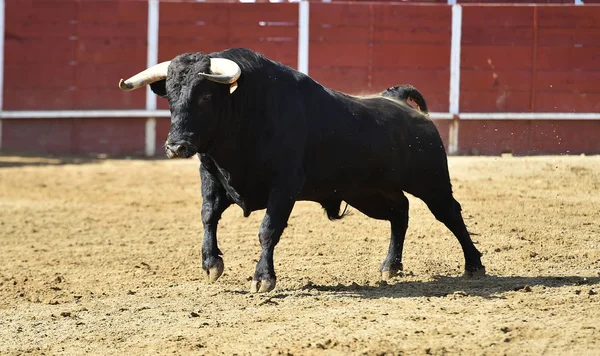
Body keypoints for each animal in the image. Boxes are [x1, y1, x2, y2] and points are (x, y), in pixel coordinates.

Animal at [119, 46, 486, 292]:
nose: (176, 146)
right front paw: (211, 264)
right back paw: (390, 267)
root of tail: (396, 100)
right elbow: (208, 215)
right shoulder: (212, 176)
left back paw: (474, 266)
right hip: (368, 192)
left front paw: (262, 278)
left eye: (206, 96)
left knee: (449, 213)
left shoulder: (285, 186)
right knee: (400, 211)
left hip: (430, 180)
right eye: (170, 96)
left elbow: (268, 229)